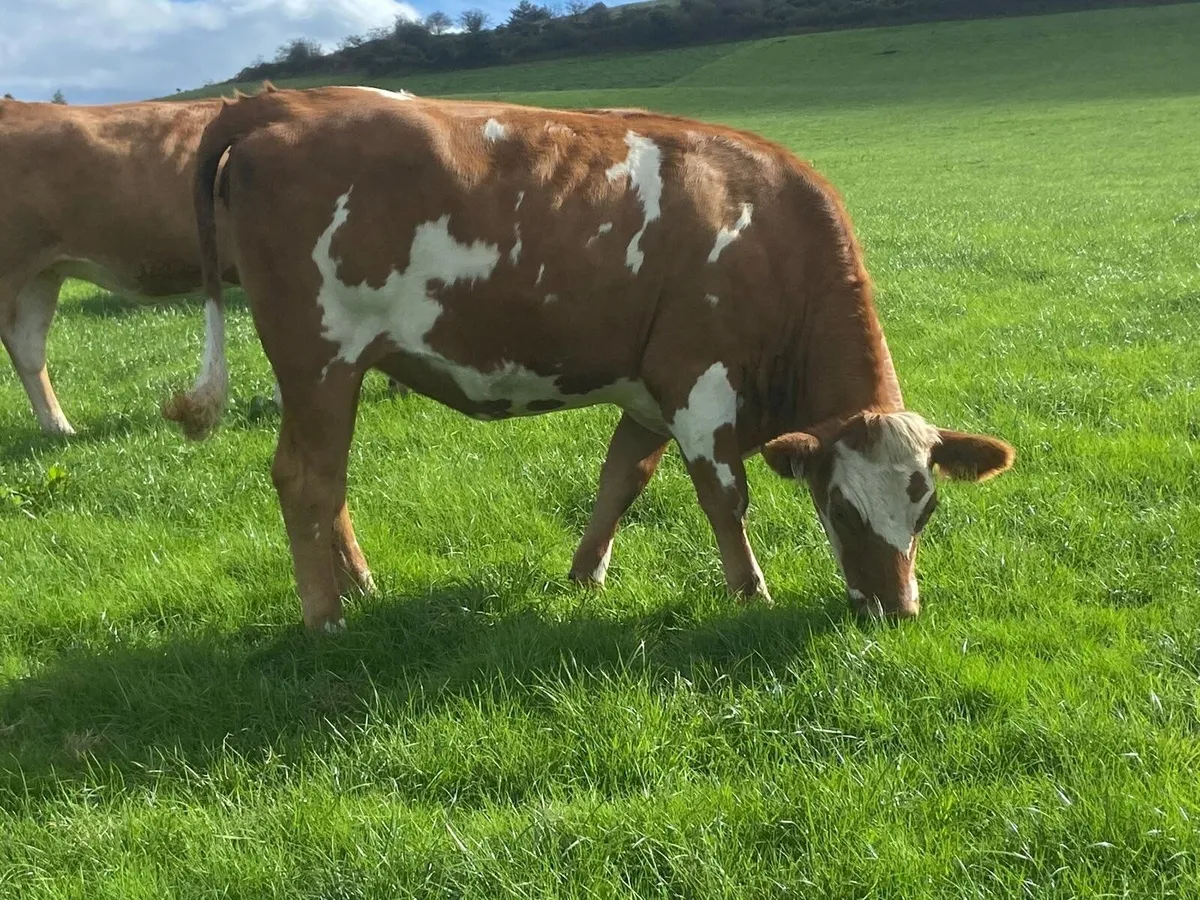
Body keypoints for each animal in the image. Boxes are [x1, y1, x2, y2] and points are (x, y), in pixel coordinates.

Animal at [165, 85, 1015, 630]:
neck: (768, 236)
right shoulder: (700, 386)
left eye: (927, 508)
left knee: (329, 481)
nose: (897, 611)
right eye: (840, 508)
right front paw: (751, 593)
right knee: (305, 479)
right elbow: (724, 498)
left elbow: (619, 482)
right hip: (319, 359)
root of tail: (281, 101)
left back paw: (362, 587)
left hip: (338, 371)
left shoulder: (648, 393)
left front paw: (584, 574)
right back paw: (326, 616)